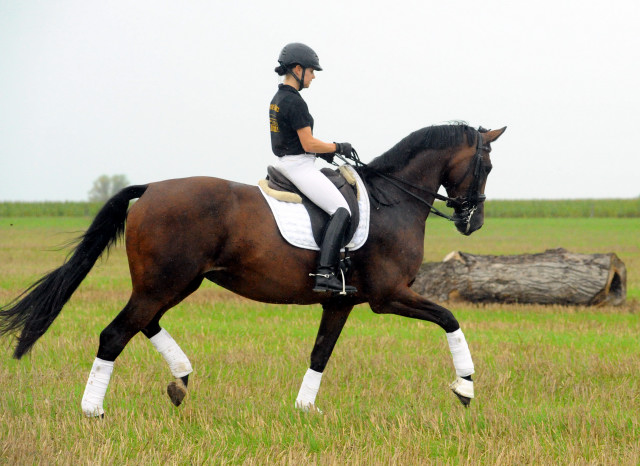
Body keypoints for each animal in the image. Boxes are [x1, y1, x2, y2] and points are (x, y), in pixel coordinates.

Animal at [1, 123, 510, 416]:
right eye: (486, 165)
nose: (474, 222)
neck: (393, 201)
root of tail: (151, 189)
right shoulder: (389, 296)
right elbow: (450, 318)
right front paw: (465, 387)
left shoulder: (341, 302)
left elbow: (320, 353)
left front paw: (305, 410)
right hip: (165, 282)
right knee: (115, 334)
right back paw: (94, 411)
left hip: (174, 282)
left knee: (144, 323)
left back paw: (180, 380)